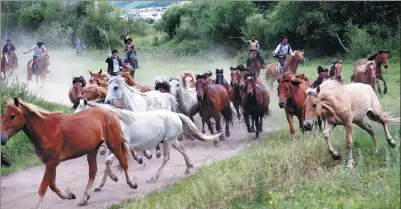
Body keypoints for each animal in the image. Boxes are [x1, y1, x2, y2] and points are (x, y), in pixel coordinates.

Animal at [1, 98, 138, 209]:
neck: (46, 130)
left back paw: (131, 183)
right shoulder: (50, 163)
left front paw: (39, 205)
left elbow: (44, 186)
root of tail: (109, 112)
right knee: (93, 171)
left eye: (12, 116)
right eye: (3, 116)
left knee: (123, 162)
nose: (2, 139)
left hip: (113, 144)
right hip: (92, 150)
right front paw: (69, 195)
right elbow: (52, 184)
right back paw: (84, 198)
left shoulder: (52, 162)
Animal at [73, 100, 220, 190]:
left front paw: (115, 178)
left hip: (168, 142)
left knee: (166, 158)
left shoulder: (122, 148)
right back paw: (188, 168)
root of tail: (176, 115)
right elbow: (106, 165)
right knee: (182, 149)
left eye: (79, 111)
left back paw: (154, 177)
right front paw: (99, 186)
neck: (116, 122)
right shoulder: (112, 149)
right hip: (171, 141)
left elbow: (108, 162)